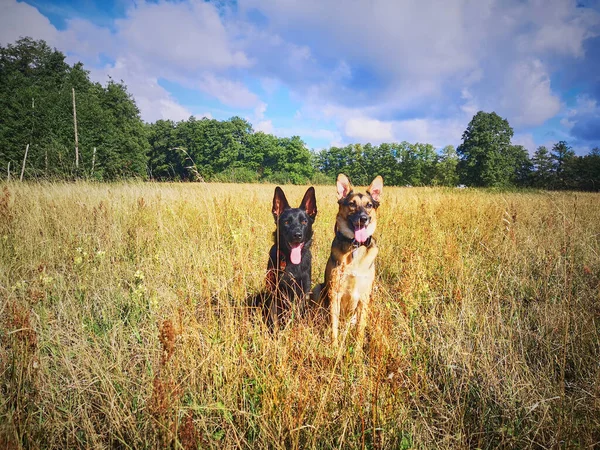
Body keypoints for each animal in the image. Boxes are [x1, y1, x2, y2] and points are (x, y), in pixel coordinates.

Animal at [264, 185, 318, 328]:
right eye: (287, 222)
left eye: (304, 221)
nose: (297, 235)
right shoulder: (276, 292)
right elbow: (275, 317)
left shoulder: (304, 291)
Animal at [314, 174, 384, 346]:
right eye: (352, 204)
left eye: (369, 205)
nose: (363, 219)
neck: (355, 247)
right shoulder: (335, 293)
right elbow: (334, 328)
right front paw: (334, 347)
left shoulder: (364, 298)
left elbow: (360, 331)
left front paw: (357, 352)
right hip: (318, 289)